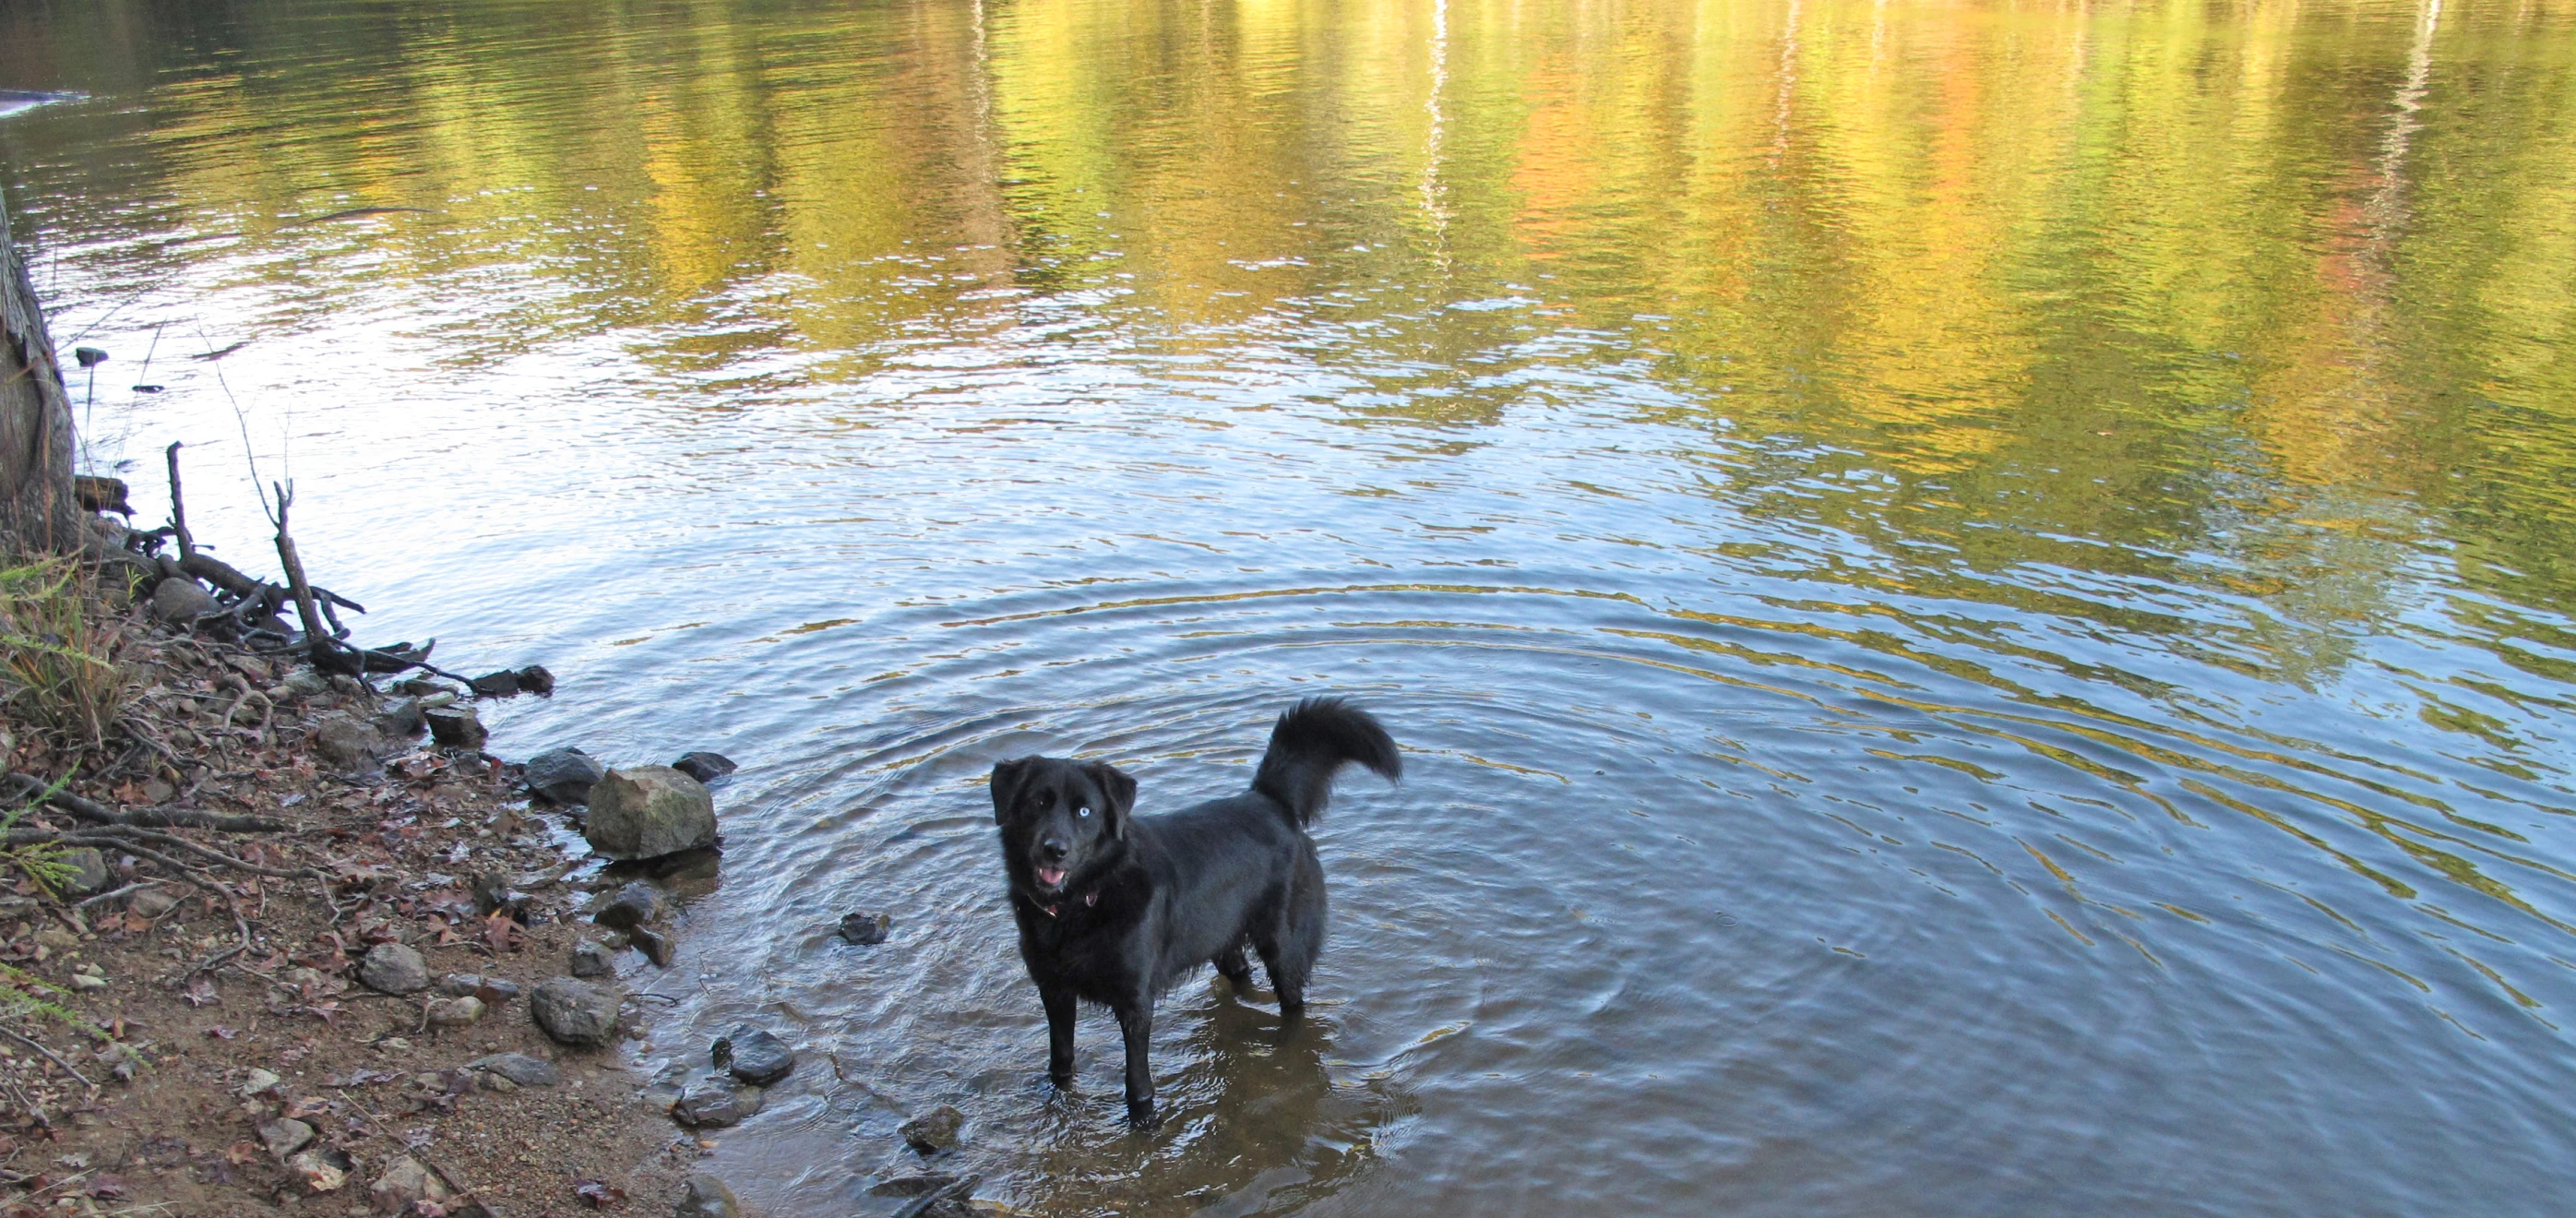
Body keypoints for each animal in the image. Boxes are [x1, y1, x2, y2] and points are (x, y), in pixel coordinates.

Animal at [984, 700, 1401, 1122]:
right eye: (1038, 803)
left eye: (1084, 811)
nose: (1054, 849)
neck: (1083, 902)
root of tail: (1270, 800)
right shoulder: (1053, 991)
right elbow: (1062, 1059)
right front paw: (1055, 1092)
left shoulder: (1135, 1003)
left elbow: (1137, 1082)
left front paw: (1144, 1123)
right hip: (1219, 939)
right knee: (1241, 974)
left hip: (1284, 947)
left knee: (1294, 1005)